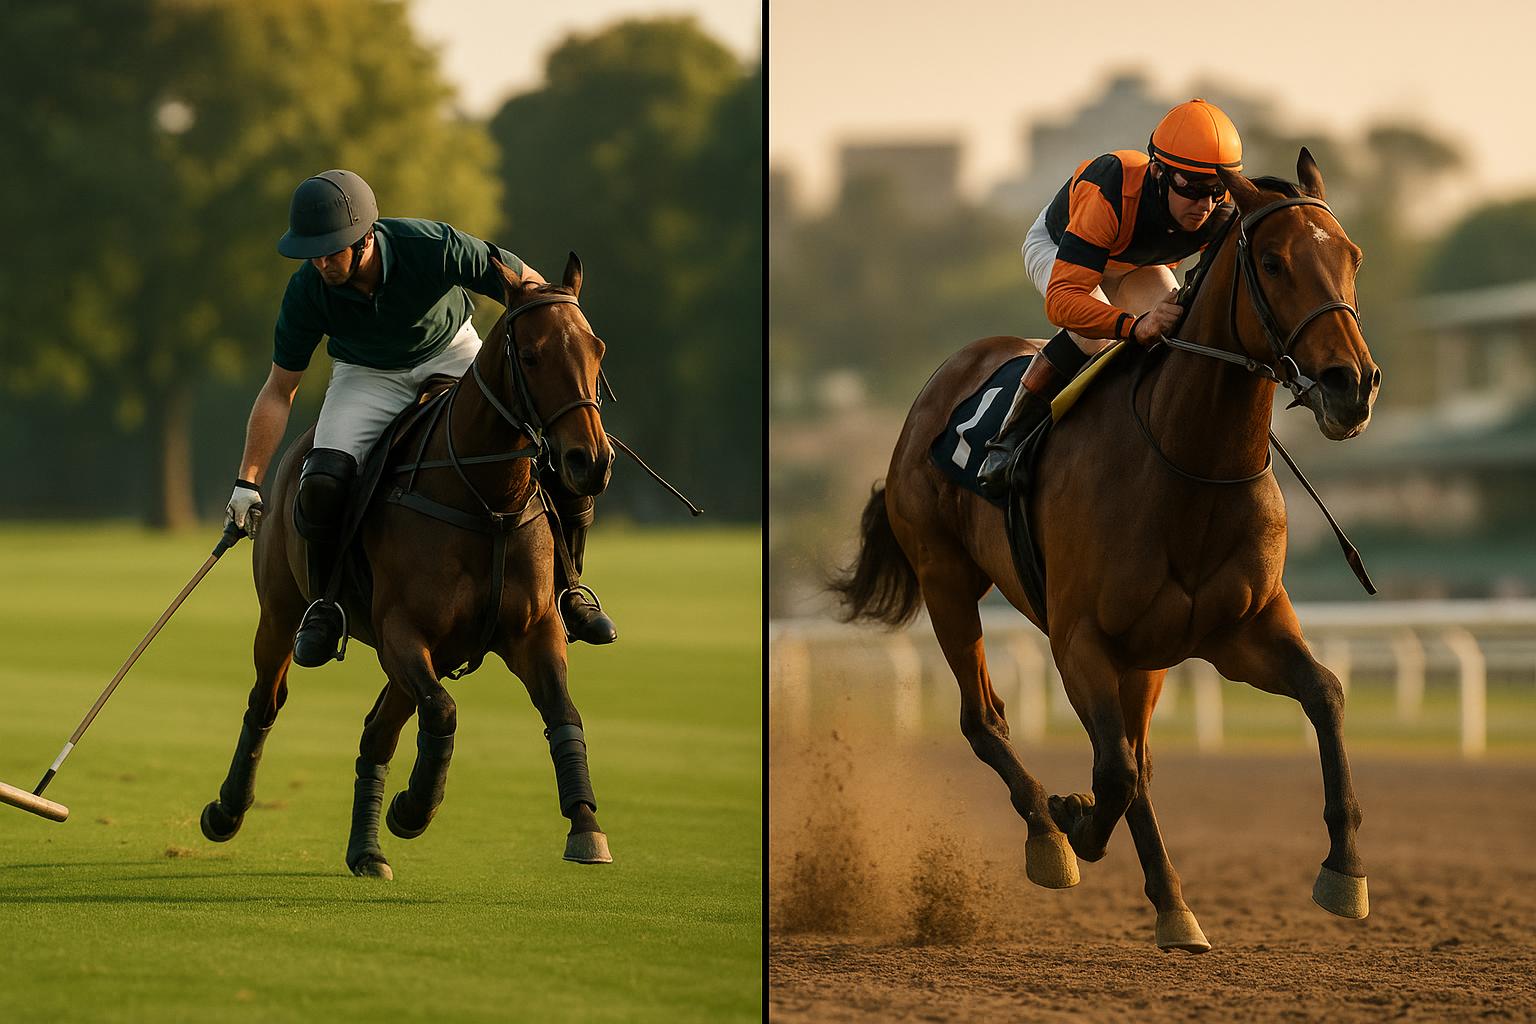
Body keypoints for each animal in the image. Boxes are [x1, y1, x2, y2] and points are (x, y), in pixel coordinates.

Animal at [832, 151, 1379, 952]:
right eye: (1274, 263)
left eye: (1352, 258)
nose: (1351, 385)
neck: (1188, 462)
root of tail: (941, 383)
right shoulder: (1080, 640)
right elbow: (1113, 773)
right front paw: (1072, 819)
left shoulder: (1239, 632)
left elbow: (1327, 696)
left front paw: (1345, 870)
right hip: (946, 580)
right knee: (986, 720)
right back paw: (1051, 837)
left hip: (1145, 654)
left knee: (1136, 755)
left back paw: (1172, 905)